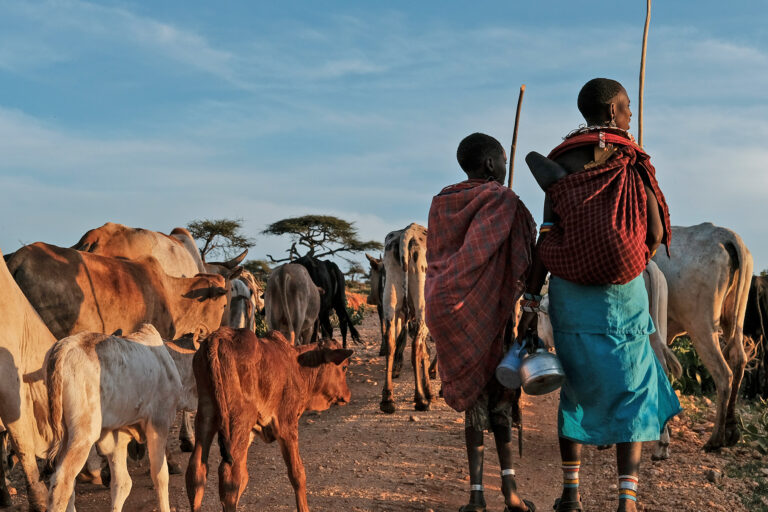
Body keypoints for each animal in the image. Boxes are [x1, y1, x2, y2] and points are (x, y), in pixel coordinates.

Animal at [45, 326, 196, 510]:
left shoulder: (117, 436)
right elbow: (160, 476)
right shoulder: (158, 423)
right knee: (61, 484)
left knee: (68, 485)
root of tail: (63, 348)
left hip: (65, 434)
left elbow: (122, 483)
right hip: (82, 437)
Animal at [186, 328, 354, 512]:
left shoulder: (252, 432)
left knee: (197, 471)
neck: (298, 366)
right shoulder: (286, 425)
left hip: (206, 415)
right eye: (344, 367)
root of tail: (219, 337)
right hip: (238, 421)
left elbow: (244, 477)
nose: (347, 395)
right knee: (228, 476)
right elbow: (297, 473)